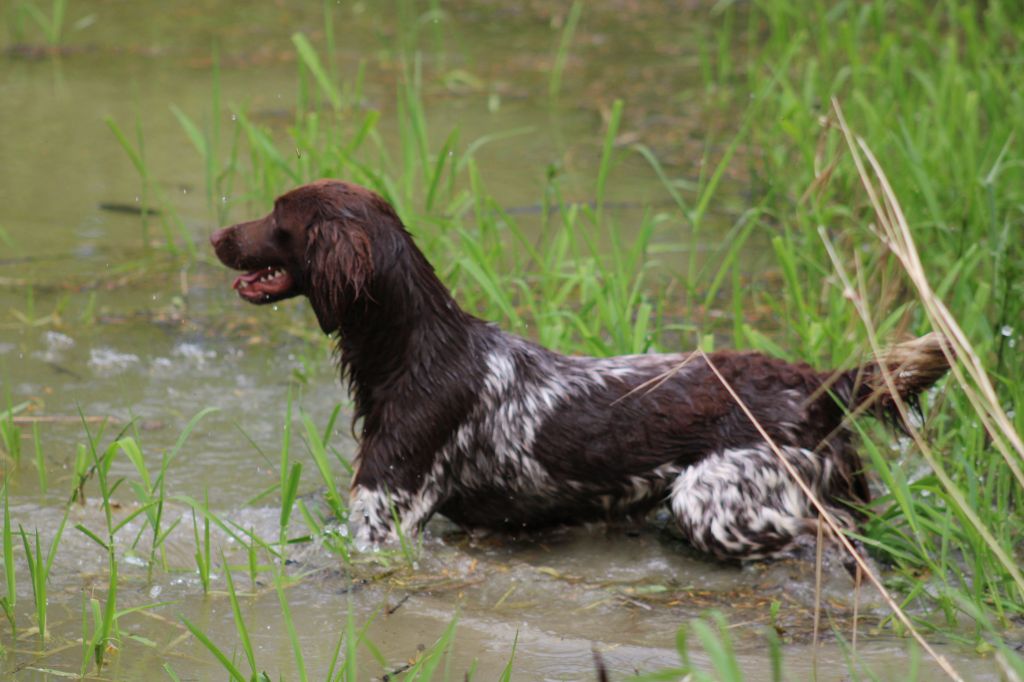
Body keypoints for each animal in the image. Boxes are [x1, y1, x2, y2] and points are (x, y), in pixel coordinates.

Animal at [209, 178, 950, 561]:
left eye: (277, 215)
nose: (215, 236)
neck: (414, 351)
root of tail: (820, 384)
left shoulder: (383, 519)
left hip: (710, 497)